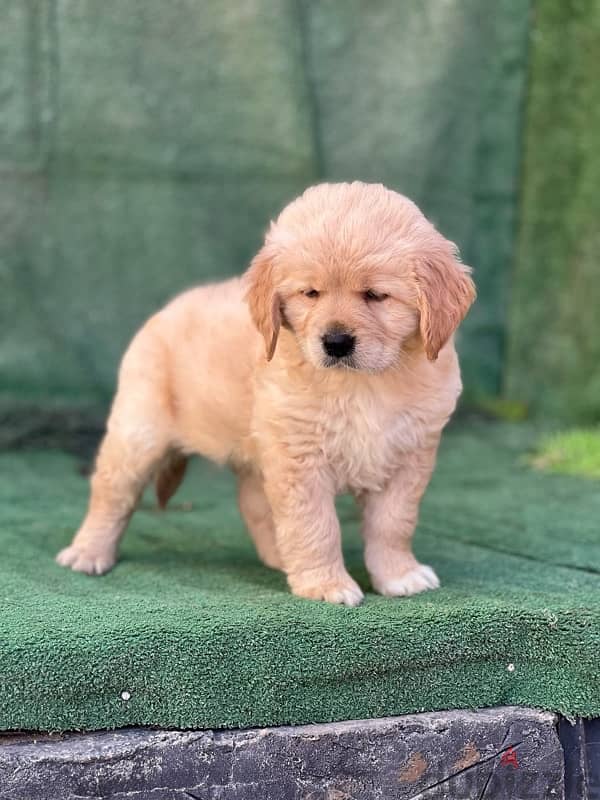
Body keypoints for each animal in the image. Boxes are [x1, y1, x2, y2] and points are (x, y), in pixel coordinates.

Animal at [58, 181, 476, 608]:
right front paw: (326, 583)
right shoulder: (300, 459)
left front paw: (398, 575)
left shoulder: (408, 457)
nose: (335, 342)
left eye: (376, 295)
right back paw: (88, 553)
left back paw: (279, 557)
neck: (361, 384)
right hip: (138, 433)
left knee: (253, 503)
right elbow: (316, 525)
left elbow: (394, 523)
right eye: (310, 293)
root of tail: (166, 310)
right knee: (111, 493)